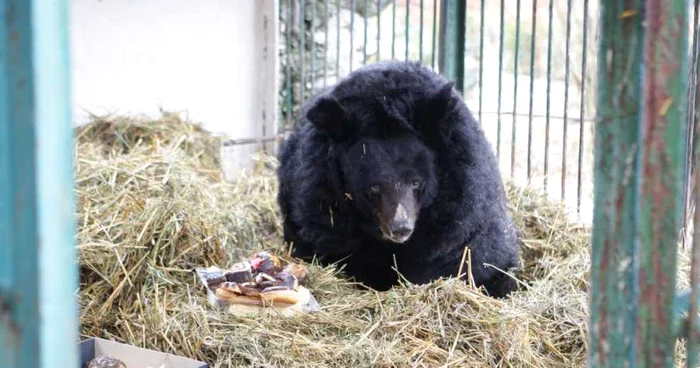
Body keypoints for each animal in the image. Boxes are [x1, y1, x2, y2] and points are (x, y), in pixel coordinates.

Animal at [276, 59, 524, 296]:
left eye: (416, 182)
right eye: (373, 188)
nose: (400, 227)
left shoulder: (461, 211)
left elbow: (477, 260)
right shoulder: (321, 206)